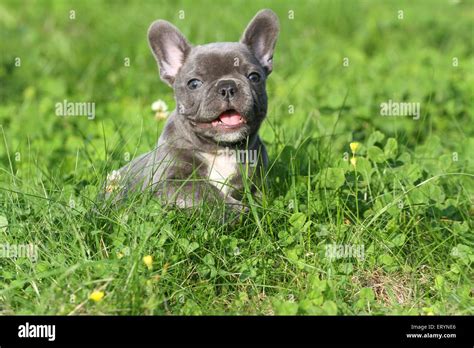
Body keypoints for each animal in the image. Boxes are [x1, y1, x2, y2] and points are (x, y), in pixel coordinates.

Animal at [106, 9, 280, 213]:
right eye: (194, 83)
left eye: (254, 77)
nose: (227, 86)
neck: (221, 150)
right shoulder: (168, 182)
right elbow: (205, 190)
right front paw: (237, 210)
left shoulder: (257, 181)